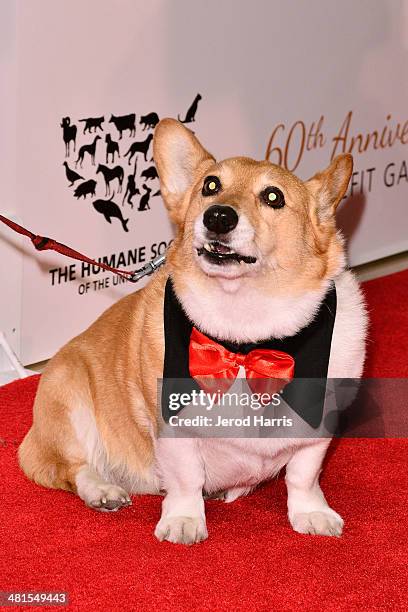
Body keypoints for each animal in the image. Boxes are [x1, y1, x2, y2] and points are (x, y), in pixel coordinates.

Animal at [18, 119, 366, 544]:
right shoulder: (173, 425)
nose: (218, 216)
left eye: (273, 197)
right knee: (73, 467)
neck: (246, 339)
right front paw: (184, 520)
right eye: (210, 186)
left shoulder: (316, 431)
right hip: (68, 393)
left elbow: (304, 475)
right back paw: (103, 490)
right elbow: (185, 478)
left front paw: (311, 513)